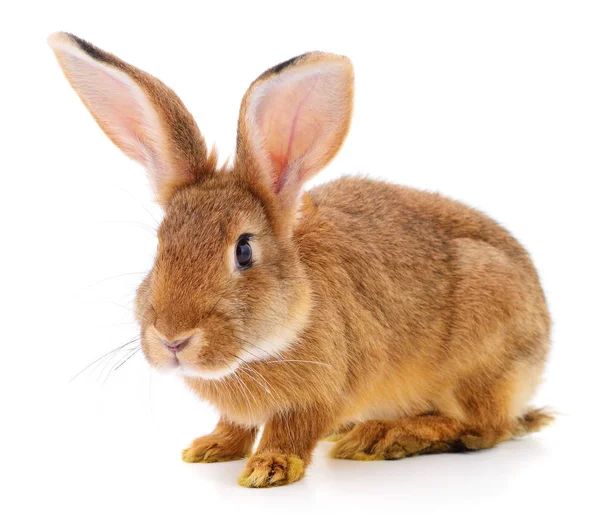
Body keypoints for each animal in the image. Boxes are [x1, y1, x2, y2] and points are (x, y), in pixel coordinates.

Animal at [49, 33, 552, 490]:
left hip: (479, 359)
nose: (173, 339)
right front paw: (211, 448)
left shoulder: (323, 390)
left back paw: (383, 436)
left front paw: (269, 468)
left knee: (482, 429)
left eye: (244, 250)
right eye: (159, 246)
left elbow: (293, 431)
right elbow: (236, 423)